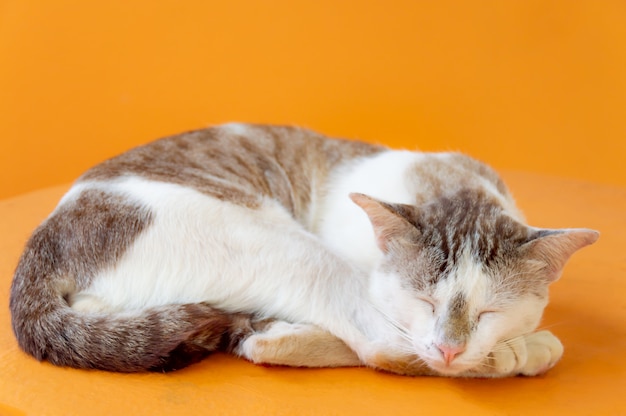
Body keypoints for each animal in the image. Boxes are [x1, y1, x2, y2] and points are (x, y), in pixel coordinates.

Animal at [8, 123, 596, 376]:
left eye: (489, 311)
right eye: (425, 301)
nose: (451, 347)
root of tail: (43, 241)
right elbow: (401, 344)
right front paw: (516, 348)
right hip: (284, 245)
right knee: (382, 348)